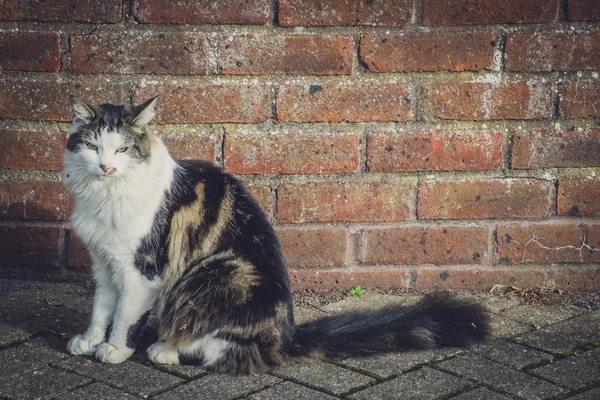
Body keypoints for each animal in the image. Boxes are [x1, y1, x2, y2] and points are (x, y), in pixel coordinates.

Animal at [63, 97, 490, 376]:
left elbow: (124, 316)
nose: (106, 166)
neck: (105, 195)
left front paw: (114, 349)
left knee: (217, 348)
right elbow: (102, 308)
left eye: (122, 149)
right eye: (93, 146)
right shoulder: (104, 264)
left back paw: (165, 349)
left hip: (217, 275)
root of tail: (287, 334)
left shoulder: (142, 270)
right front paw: (89, 341)